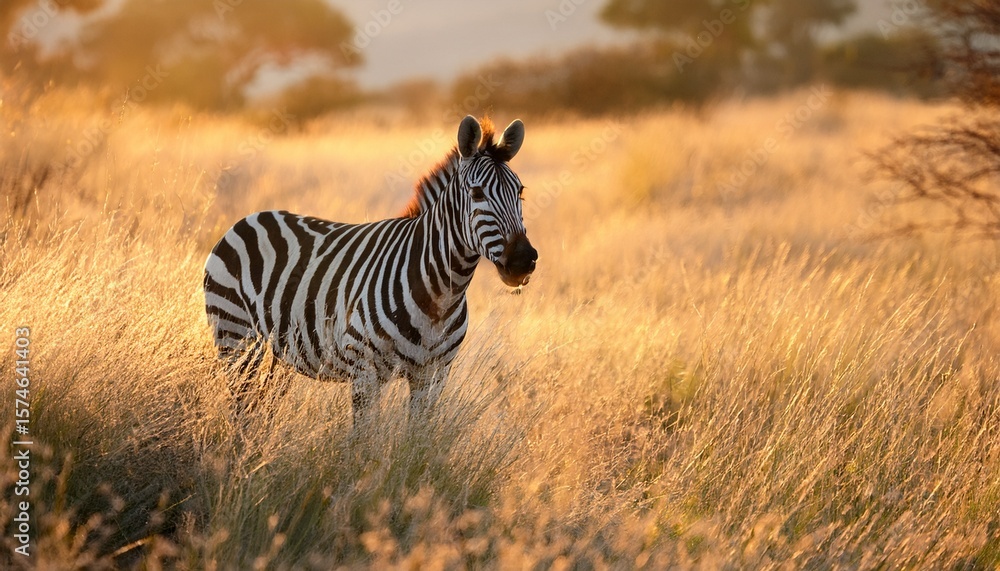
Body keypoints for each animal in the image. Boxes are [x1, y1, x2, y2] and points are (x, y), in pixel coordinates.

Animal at [203, 116, 537, 424]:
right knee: (241, 405)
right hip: (235, 335)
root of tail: (249, 218)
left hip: (280, 350)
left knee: (261, 406)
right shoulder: (366, 371)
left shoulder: (433, 375)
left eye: (520, 192)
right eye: (477, 193)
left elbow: (417, 439)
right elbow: (362, 441)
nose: (524, 260)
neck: (441, 295)